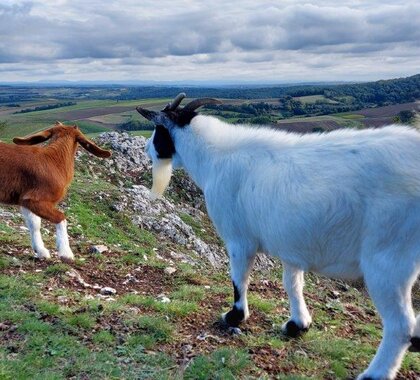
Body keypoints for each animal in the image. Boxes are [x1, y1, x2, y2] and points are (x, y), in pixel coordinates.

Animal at [0, 121, 111, 262]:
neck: (54, 160)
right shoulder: (35, 199)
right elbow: (61, 218)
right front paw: (66, 253)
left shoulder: (25, 201)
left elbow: (34, 224)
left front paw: (41, 251)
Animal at [136, 94, 418, 380]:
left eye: (159, 131)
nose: (147, 148)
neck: (215, 157)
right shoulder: (291, 246)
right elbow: (292, 284)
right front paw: (298, 325)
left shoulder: (239, 238)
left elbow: (239, 279)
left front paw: (234, 317)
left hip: (388, 258)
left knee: (400, 325)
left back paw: (375, 373)